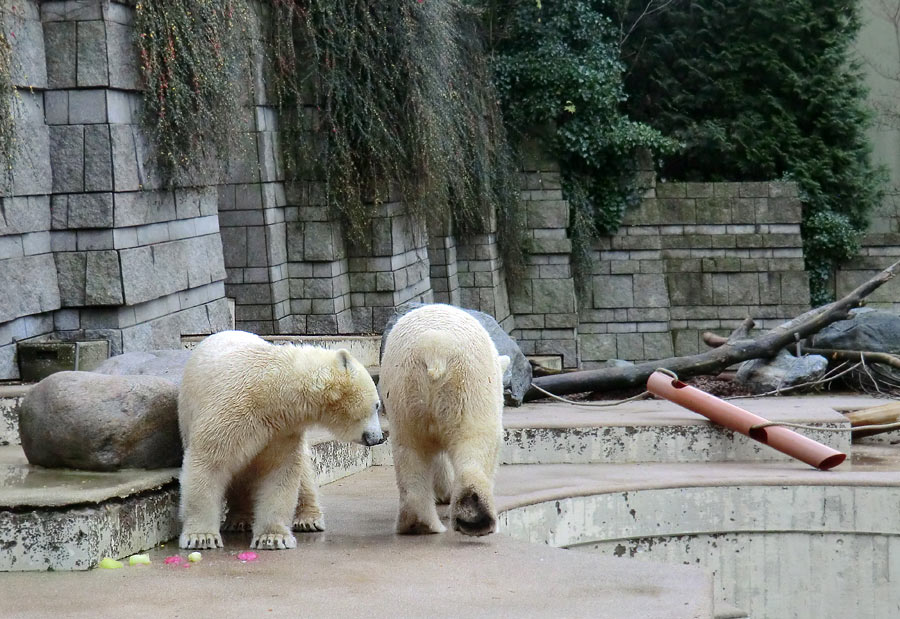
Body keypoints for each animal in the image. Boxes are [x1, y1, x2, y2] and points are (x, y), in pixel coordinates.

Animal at [177, 332, 384, 548]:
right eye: (377, 405)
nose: (378, 438)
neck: (270, 389)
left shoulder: (281, 430)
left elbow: (279, 472)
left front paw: (273, 538)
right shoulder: (231, 413)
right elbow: (209, 463)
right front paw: (201, 537)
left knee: (304, 473)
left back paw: (308, 519)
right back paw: (239, 519)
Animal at [376, 306, 510, 536]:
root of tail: (434, 348)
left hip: (404, 391)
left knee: (409, 448)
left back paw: (418, 523)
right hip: (469, 386)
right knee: (475, 442)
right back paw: (475, 518)